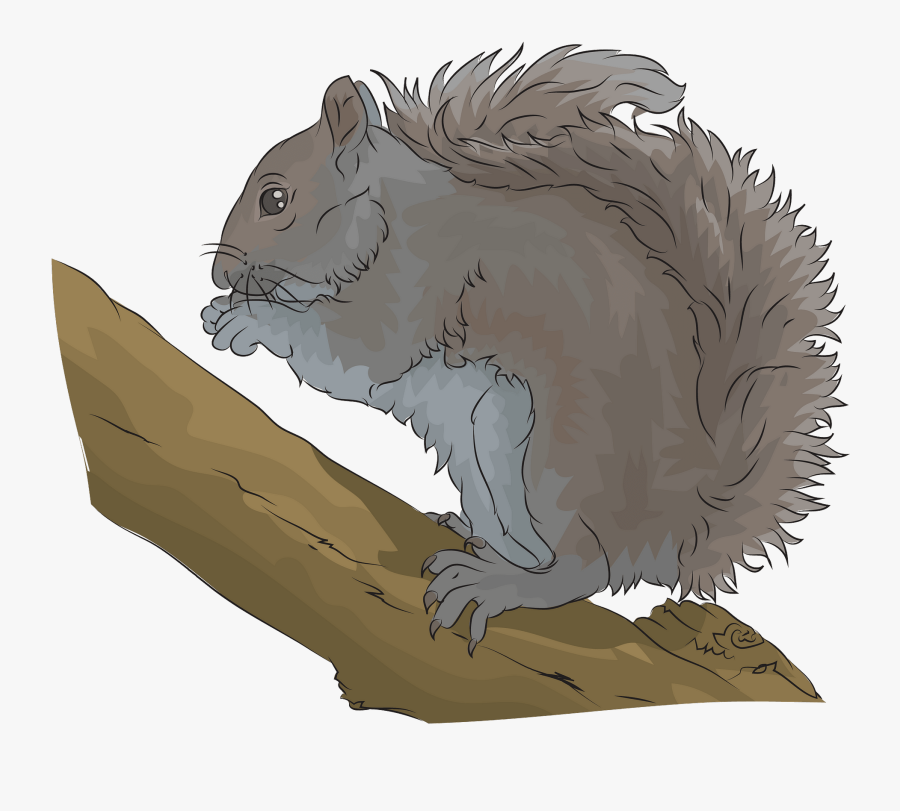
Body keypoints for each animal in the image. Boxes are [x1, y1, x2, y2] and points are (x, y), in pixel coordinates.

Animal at [201, 46, 843, 655]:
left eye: (275, 199)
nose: (219, 273)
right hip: (481, 454)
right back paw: (471, 533)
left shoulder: (418, 282)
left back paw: (501, 583)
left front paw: (249, 319)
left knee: (584, 568)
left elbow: (356, 352)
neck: (387, 211)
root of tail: (670, 523)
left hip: (561, 465)